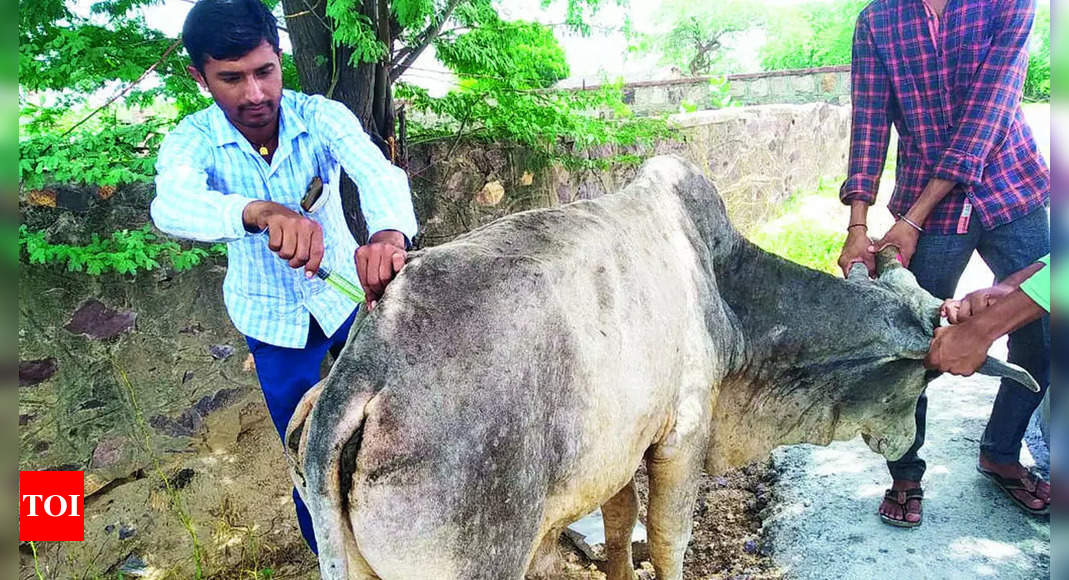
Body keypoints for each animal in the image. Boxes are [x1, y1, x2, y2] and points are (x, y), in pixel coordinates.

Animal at [284, 153, 1034, 580]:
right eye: (928, 377)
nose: (905, 443)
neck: (727, 294)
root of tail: (366, 369)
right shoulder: (682, 438)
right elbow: (669, 538)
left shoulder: (623, 445)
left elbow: (620, 526)